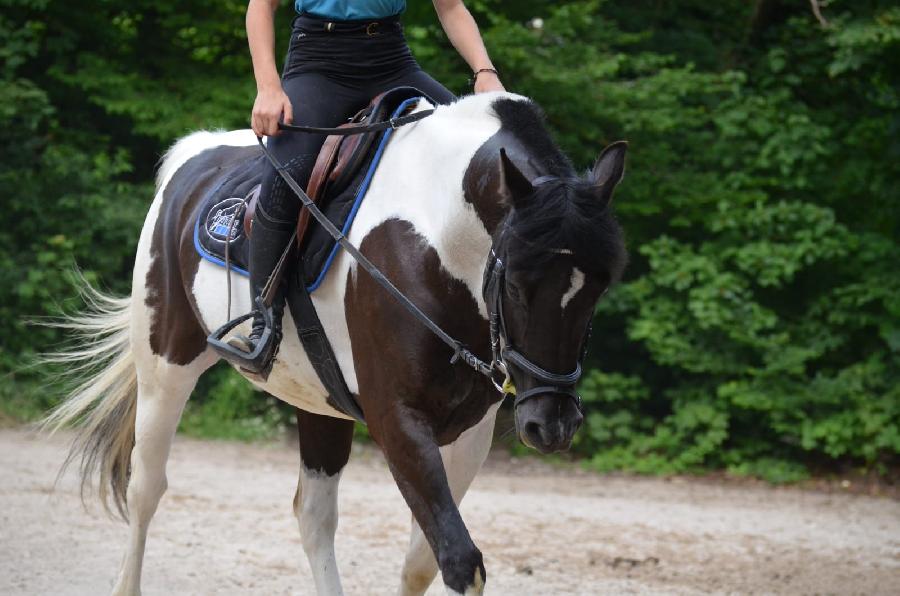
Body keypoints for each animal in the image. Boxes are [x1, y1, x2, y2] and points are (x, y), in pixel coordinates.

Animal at [42, 89, 624, 596]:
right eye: (517, 284)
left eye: (600, 286)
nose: (551, 424)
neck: (436, 240)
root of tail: (195, 155)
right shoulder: (397, 421)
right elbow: (459, 560)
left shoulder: (470, 432)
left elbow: (424, 559)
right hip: (165, 366)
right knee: (145, 489)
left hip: (319, 400)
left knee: (313, 517)